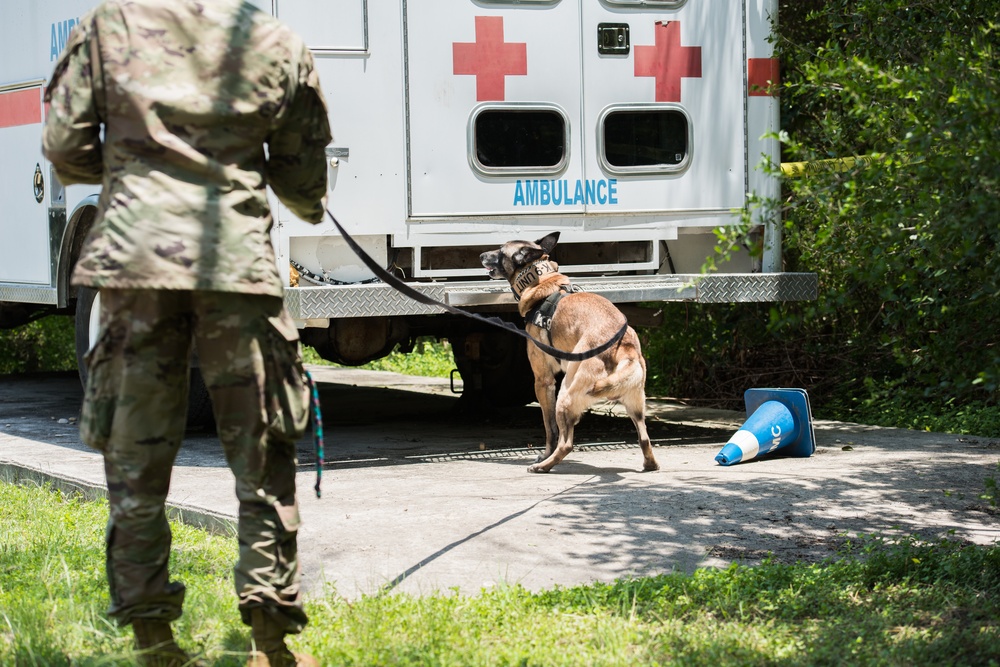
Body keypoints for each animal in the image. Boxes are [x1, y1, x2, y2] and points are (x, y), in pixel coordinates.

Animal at [480, 235, 660, 474]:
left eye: (500, 252)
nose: (481, 255)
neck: (542, 280)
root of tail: (624, 345)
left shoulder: (543, 381)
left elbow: (550, 429)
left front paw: (544, 455)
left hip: (564, 396)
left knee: (566, 444)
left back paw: (544, 466)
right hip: (635, 405)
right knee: (645, 438)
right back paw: (650, 464)